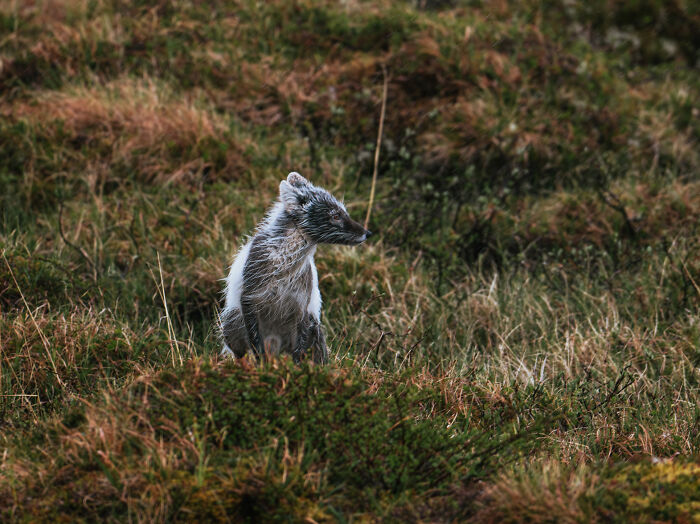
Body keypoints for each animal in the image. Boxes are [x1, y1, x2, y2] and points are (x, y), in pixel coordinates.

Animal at [220, 172, 372, 363]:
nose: (368, 233)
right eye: (335, 215)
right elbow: (256, 346)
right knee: (240, 354)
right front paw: (262, 366)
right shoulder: (249, 300)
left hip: (314, 327)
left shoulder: (301, 308)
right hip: (231, 321)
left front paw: (295, 368)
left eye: (344, 212)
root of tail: (275, 346)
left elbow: (298, 353)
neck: (283, 266)